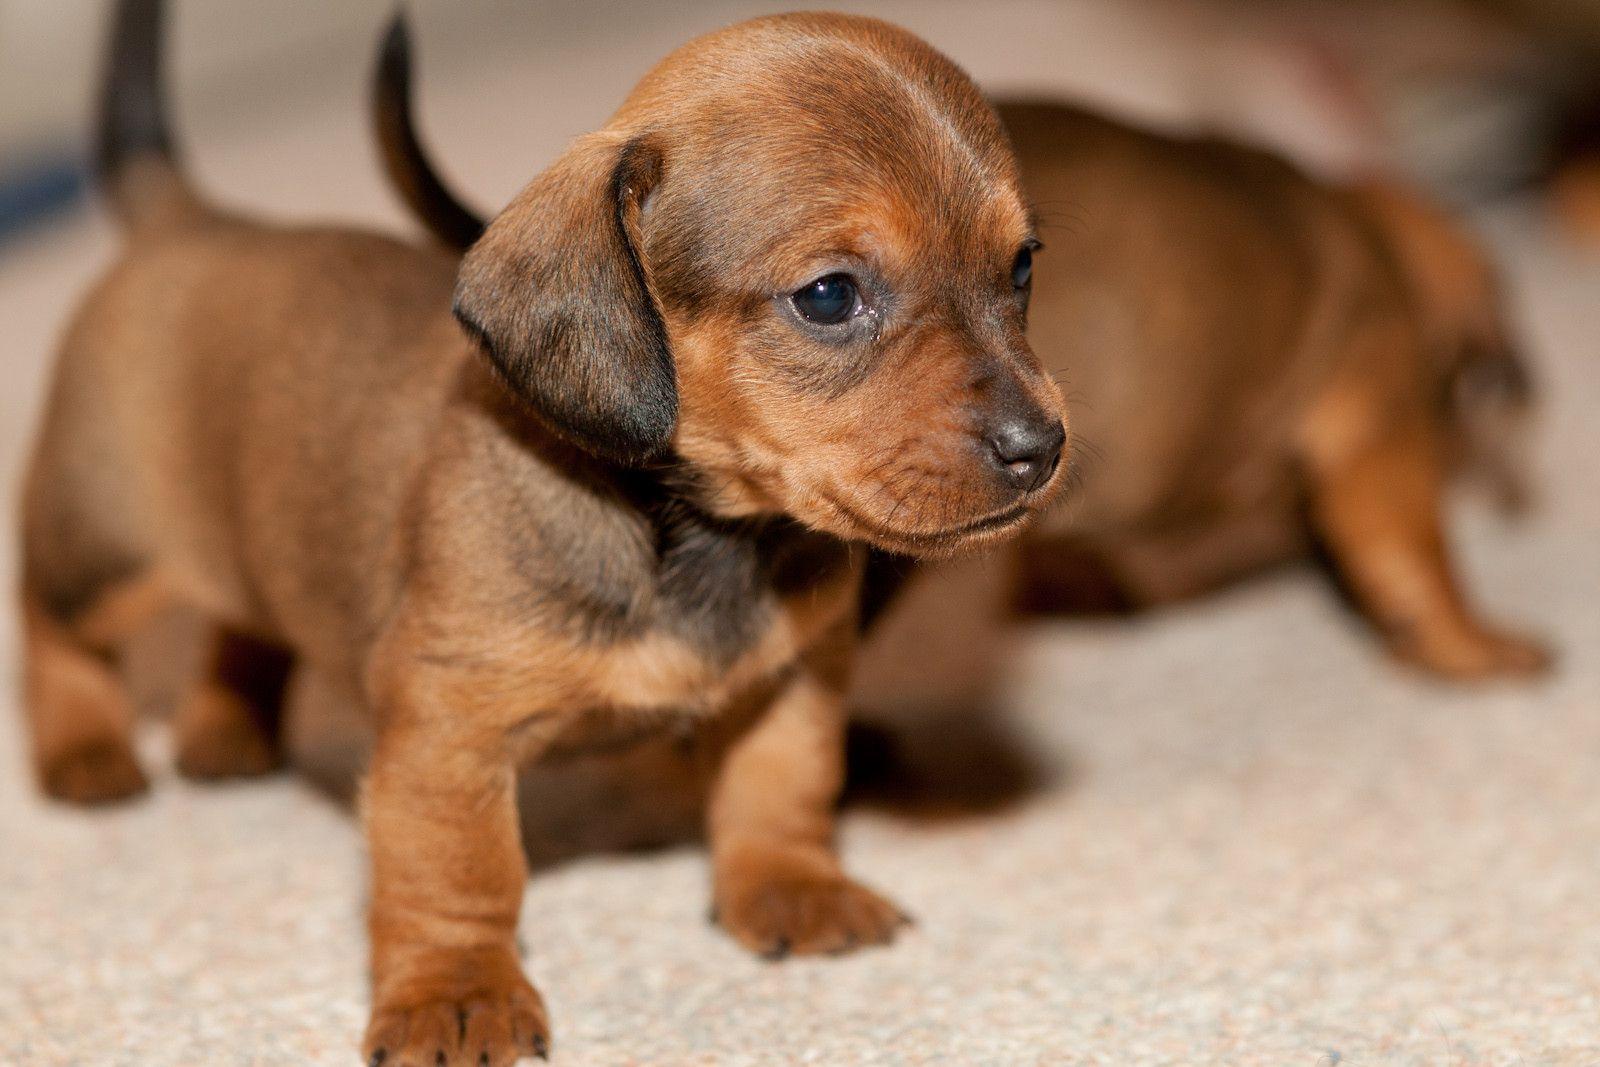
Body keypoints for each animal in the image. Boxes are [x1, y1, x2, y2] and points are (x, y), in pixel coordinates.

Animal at [18, 4, 1062, 1062]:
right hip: (99, 551)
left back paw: (226, 726)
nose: (1042, 447)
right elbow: (461, 872)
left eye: (1021, 267)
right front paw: (456, 989)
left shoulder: (795, 671)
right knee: (49, 622)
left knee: (247, 624)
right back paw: (85, 748)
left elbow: (783, 783)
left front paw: (793, 886)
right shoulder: (449, 731)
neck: (692, 535)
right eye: (829, 295)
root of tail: (192, 220)